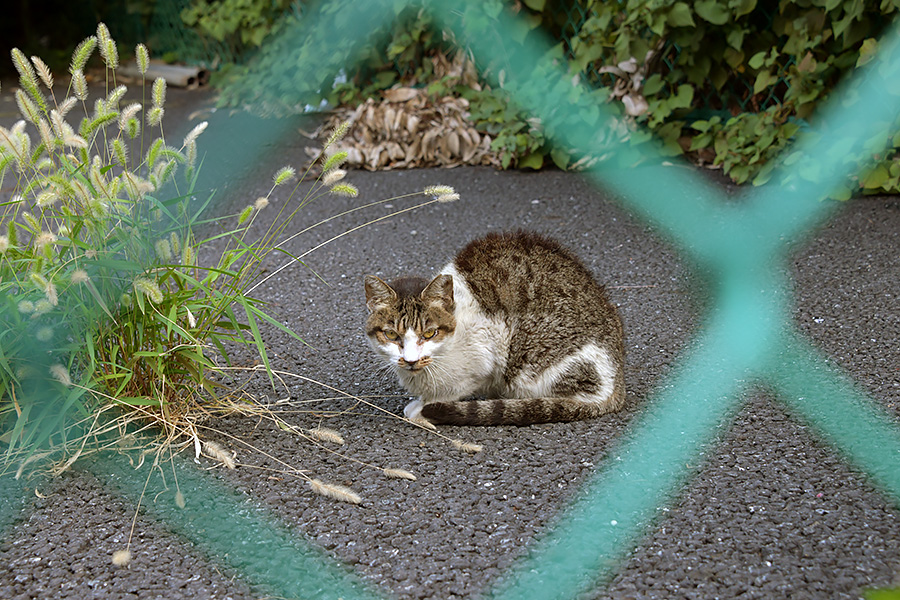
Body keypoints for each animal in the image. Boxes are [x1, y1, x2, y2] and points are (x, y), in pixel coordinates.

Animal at [362, 230, 624, 426]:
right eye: (391, 334)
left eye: (429, 333)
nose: (411, 360)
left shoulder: (485, 354)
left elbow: (454, 390)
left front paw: (423, 409)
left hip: (533, 358)